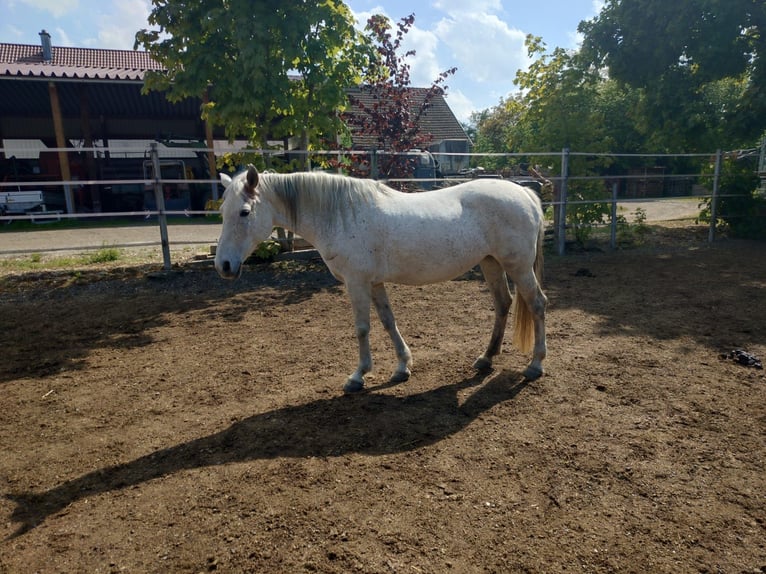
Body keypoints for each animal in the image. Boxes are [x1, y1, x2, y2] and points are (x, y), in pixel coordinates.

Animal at [215, 165, 548, 394]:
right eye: (222, 211)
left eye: (244, 212)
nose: (224, 265)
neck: (340, 215)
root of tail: (525, 193)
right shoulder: (374, 283)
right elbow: (389, 322)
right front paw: (402, 367)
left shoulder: (357, 282)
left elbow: (362, 328)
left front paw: (358, 376)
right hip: (491, 263)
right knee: (503, 304)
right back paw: (486, 358)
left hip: (518, 266)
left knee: (537, 304)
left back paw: (535, 364)